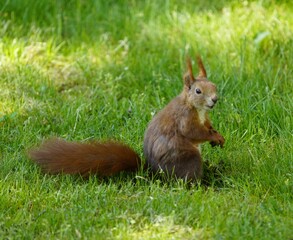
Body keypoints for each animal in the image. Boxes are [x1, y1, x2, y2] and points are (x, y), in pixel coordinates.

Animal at [29, 56, 224, 180]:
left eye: (214, 85)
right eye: (198, 91)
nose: (215, 99)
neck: (195, 107)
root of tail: (153, 173)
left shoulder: (204, 117)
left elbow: (207, 125)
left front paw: (218, 136)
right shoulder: (185, 118)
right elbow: (193, 132)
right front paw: (213, 136)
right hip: (188, 159)